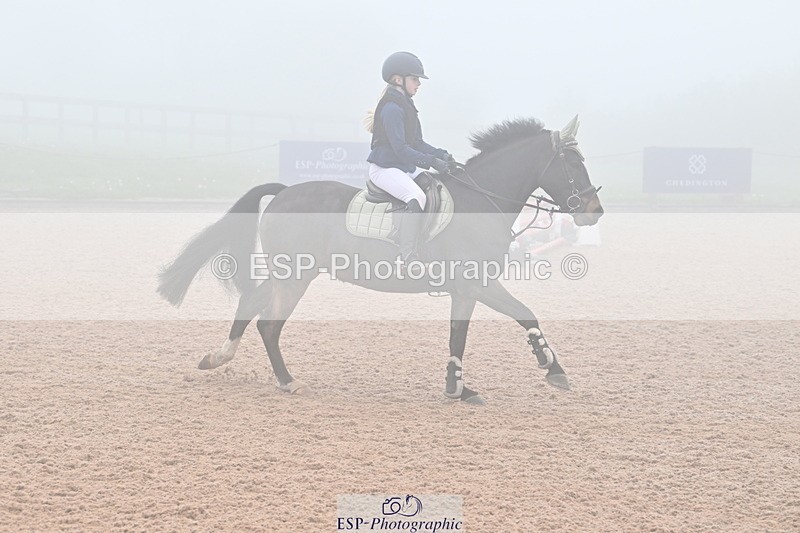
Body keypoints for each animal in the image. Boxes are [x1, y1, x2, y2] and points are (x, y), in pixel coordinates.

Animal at [158, 116, 604, 405]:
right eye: (573, 163)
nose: (594, 211)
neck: (481, 200)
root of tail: (284, 191)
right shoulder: (477, 283)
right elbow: (522, 314)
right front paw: (551, 369)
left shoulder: (466, 289)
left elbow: (464, 334)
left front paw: (459, 388)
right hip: (296, 276)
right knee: (269, 324)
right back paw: (287, 382)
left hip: (288, 273)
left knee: (251, 303)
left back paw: (218, 357)